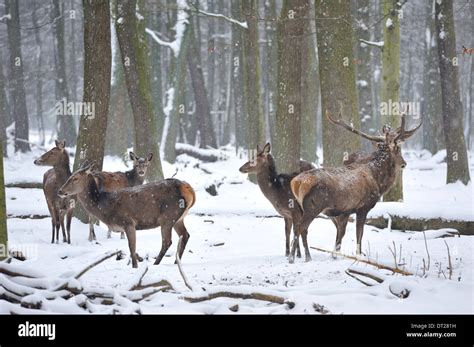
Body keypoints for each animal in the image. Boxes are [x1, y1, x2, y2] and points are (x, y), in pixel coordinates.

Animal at [58, 163, 195, 270]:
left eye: (75, 178)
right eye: (69, 176)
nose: (60, 191)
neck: (104, 206)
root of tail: (189, 189)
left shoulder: (128, 222)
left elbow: (131, 247)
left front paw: (135, 266)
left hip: (168, 216)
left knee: (167, 241)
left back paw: (156, 264)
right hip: (179, 218)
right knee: (185, 235)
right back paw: (176, 262)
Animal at [286, 109, 420, 264]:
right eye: (398, 148)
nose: (404, 163)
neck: (377, 180)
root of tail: (296, 183)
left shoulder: (344, 211)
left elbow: (342, 233)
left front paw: (337, 255)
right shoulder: (363, 206)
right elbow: (359, 233)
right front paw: (358, 255)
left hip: (300, 207)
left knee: (301, 228)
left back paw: (307, 257)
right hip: (312, 207)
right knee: (300, 228)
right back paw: (293, 258)